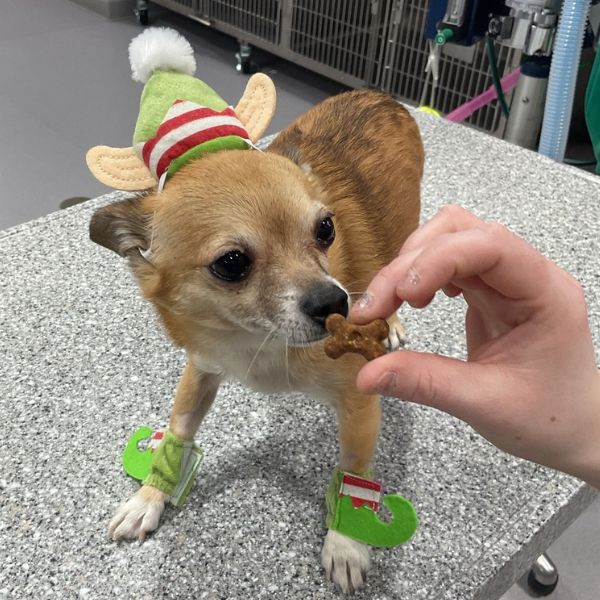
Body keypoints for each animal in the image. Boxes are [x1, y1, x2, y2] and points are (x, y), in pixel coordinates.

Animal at [91, 86, 424, 592]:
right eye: (231, 263)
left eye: (326, 229)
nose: (336, 301)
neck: (258, 341)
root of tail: (379, 93)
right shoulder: (201, 368)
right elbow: (179, 432)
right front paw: (149, 495)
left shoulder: (359, 406)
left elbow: (354, 471)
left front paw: (346, 542)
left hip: (405, 234)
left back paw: (393, 322)